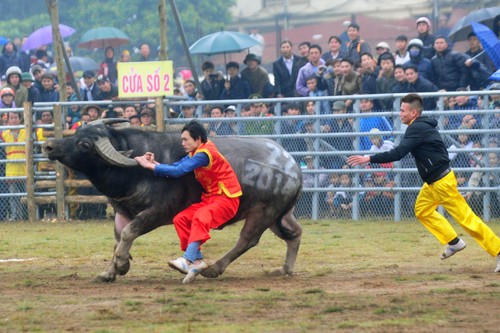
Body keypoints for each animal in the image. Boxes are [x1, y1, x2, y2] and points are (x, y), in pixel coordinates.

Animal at [43, 120, 302, 282]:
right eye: (77, 134)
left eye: (85, 144)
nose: (49, 145)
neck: (131, 170)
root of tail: (292, 166)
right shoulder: (122, 211)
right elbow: (118, 241)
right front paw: (109, 272)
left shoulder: (158, 212)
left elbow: (129, 233)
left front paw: (122, 265)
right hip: (280, 215)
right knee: (295, 233)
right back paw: (285, 268)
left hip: (263, 212)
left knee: (247, 240)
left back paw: (213, 269)